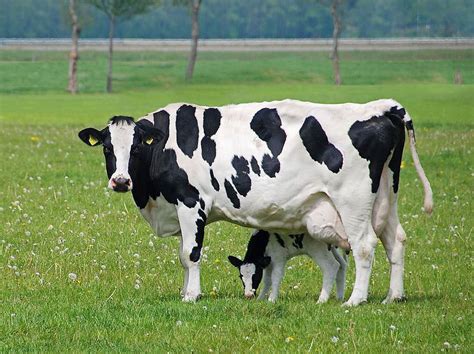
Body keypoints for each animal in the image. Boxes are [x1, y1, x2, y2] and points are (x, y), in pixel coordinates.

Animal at [78, 98, 434, 306]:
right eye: (108, 148)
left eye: (137, 147)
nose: (121, 181)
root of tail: (382, 107)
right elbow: (183, 256)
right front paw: (186, 290)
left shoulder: (191, 202)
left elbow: (190, 255)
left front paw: (191, 296)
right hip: (386, 194)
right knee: (396, 240)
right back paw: (393, 296)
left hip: (354, 200)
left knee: (364, 246)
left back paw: (356, 300)